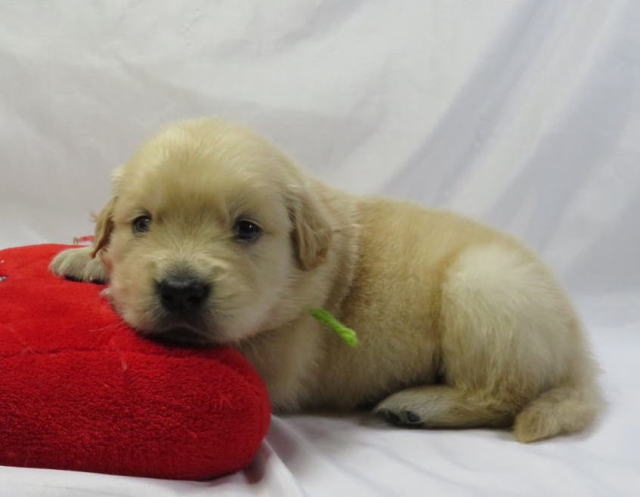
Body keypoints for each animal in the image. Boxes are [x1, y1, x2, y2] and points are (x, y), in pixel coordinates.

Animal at [50, 118, 601, 442]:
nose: (181, 290)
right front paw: (85, 258)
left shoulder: (284, 350)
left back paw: (420, 405)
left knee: (504, 393)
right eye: (142, 223)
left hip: (483, 284)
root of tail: (580, 353)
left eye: (246, 229)